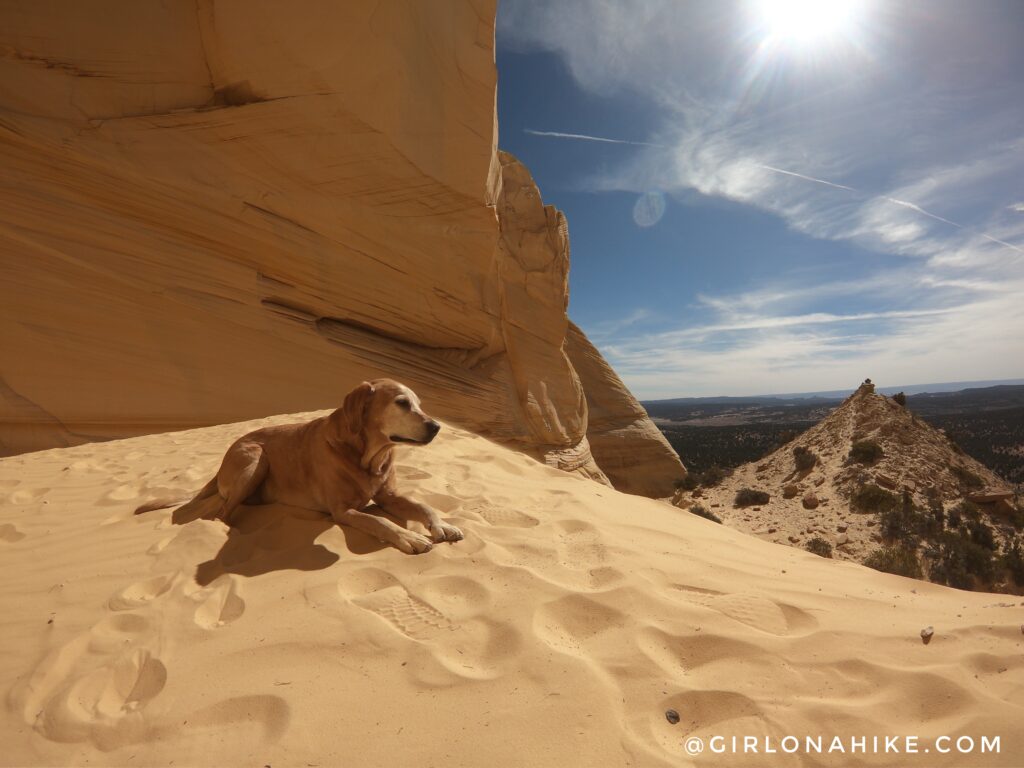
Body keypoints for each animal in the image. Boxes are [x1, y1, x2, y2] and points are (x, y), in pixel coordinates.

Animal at [138, 378, 466, 552]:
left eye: (419, 404)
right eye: (401, 403)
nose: (437, 426)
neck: (366, 455)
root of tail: (219, 466)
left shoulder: (389, 496)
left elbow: (425, 506)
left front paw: (443, 525)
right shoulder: (342, 510)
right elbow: (379, 521)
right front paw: (408, 537)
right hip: (256, 459)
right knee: (220, 513)